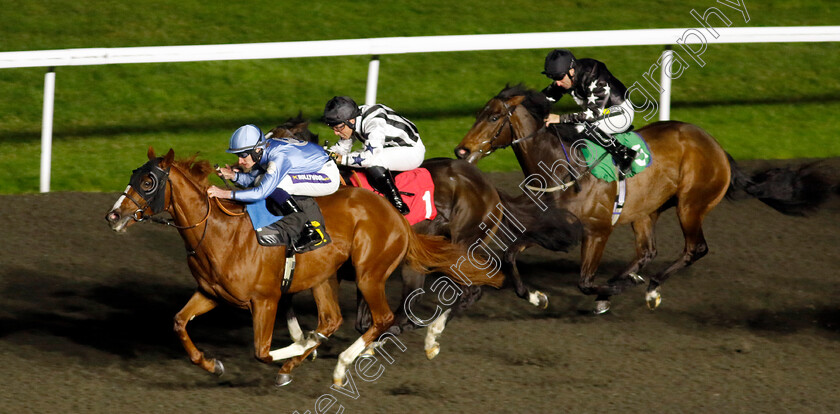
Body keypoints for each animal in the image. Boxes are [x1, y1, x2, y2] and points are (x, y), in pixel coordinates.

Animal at [452, 85, 828, 314]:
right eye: (478, 113)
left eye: (494, 117)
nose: (462, 151)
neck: (564, 167)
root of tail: (718, 148)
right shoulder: (555, 228)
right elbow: (510, 255)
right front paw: (535, 295)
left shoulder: (597, 231)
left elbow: (585, 282)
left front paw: (611, 290)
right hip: (647, 212)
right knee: (648, 251)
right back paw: (630, 280)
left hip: (691, 205)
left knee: (695, 249)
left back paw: (650, 288)